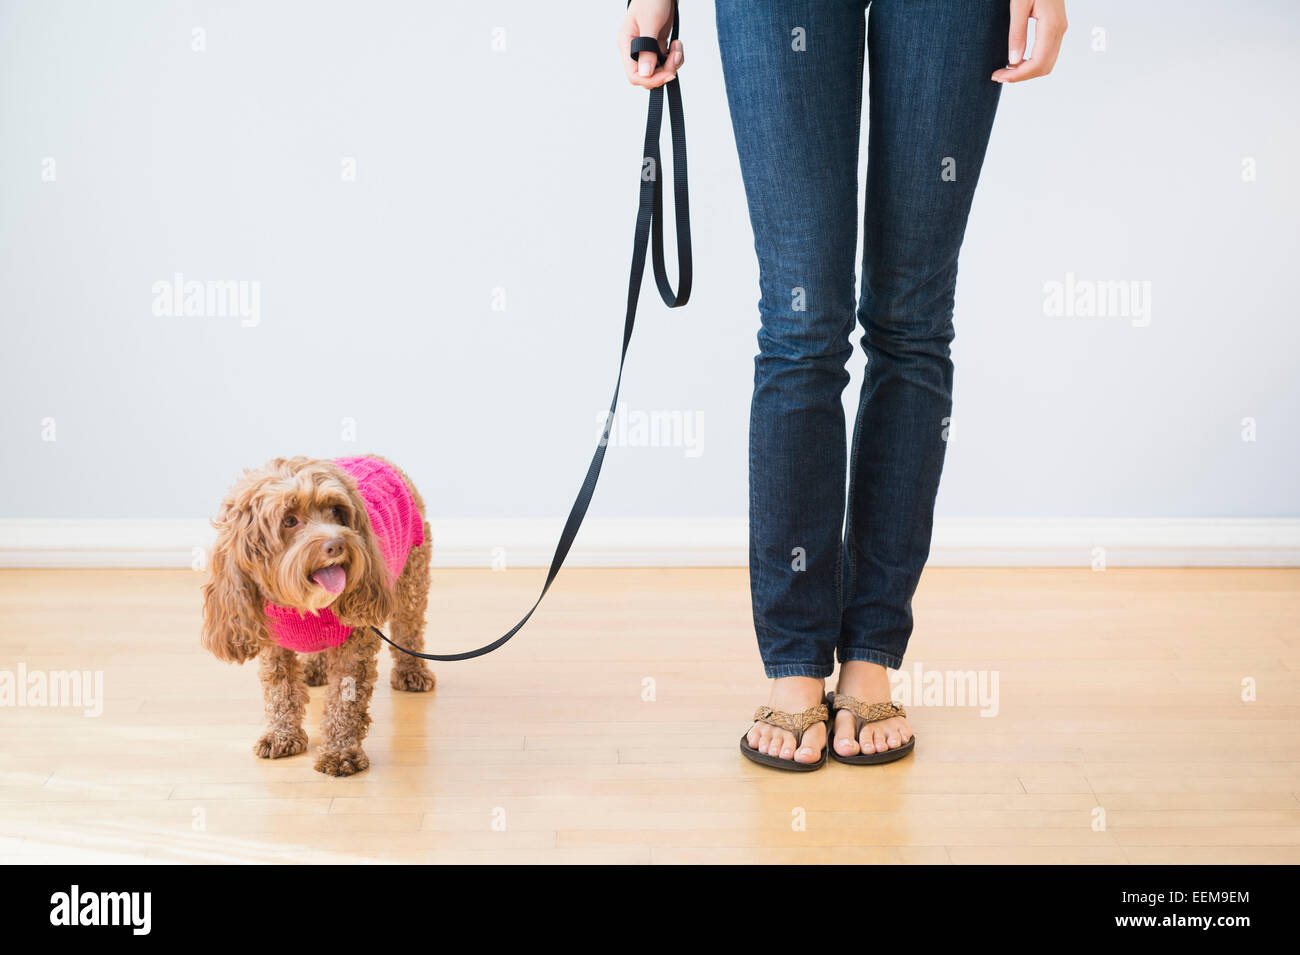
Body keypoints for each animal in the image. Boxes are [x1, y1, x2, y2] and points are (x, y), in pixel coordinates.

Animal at [197, 454, 431, 779]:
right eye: (289, 520)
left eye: (336, 512)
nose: (337, 545)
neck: (303, 607)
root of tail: (376, 458)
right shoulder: (273, 644)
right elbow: (280, 689)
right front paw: (282, 735)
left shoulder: (355, 643)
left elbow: (345, 699)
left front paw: (340, 751)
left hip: (412, 575)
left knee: (409, 626)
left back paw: (412, 672)